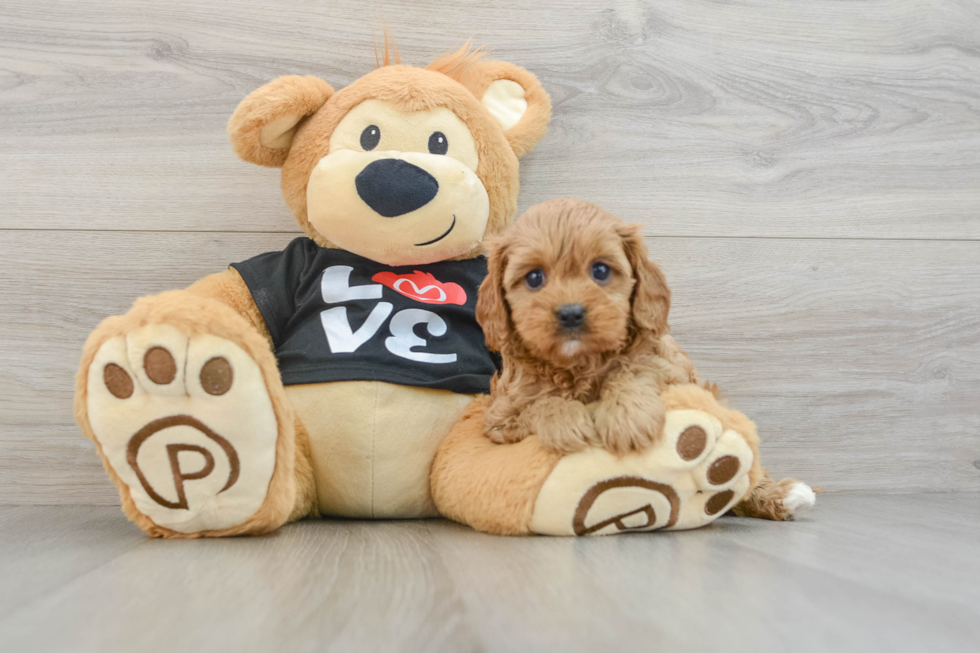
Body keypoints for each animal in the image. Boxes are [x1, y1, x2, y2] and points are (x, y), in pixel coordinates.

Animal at [474, 197, 696, 454]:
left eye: (600, 270)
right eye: (534, 277)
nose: (571, 314)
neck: (578, 362)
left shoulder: (673, 372)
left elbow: (635, 368)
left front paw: (628, 415)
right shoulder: (499, 419)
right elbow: (539, 404)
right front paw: (567, 423)